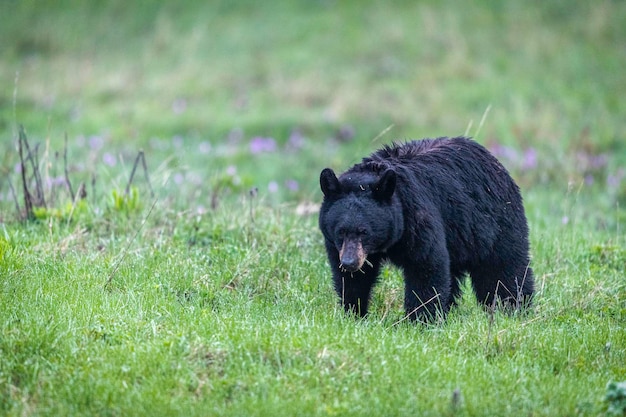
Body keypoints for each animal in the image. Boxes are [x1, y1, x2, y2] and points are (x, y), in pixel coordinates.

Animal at [322, 136, 532, 322]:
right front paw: (354, 313)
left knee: (503, 269)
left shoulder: (417, 218)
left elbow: (425, 266)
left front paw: (421, 320)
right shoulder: (337, 246)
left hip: (496, 223)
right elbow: (354, 281)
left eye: (364, 232)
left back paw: (513, 308)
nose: (349, 262)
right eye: (340, 231)